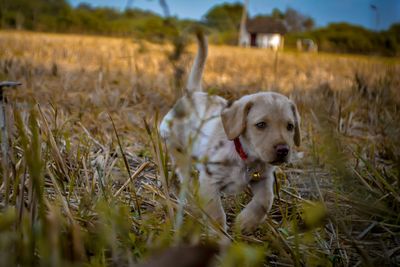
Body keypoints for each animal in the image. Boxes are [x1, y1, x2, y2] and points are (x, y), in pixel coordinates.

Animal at [159, 31, 300, 233]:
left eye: (290, 126)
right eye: (261, 125)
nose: (283, 150)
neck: (245, 156)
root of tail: (193, 94)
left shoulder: (264, 179)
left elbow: (265, 201)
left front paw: (246, 222)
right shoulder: (210, 181)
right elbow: (216, 214)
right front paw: (219, 236)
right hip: (174, 143)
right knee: (183, 169)